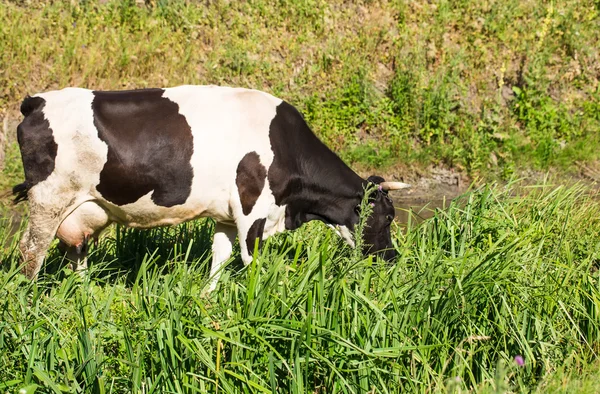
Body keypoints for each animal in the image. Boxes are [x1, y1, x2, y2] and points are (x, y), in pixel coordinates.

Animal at [12, 85, 408, 290]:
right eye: (388, 217)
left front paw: (208, 298)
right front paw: (258, 302)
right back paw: (31, 303)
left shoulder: (226, 216)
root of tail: (37, 101)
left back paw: (83, 295)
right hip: (48, 198)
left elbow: (220, 257)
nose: (393, 259)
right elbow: (251, 260)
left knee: (74, 248)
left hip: (82, 206)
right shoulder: (251, 208)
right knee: (32, 250)